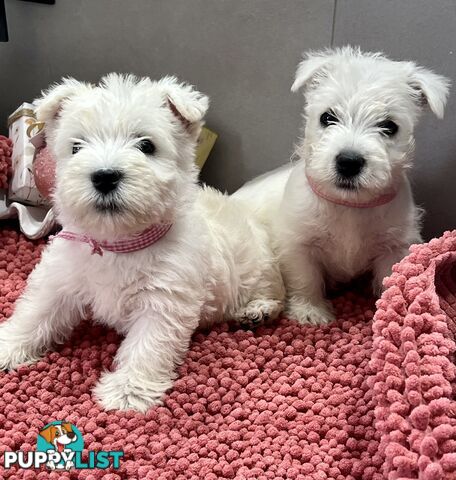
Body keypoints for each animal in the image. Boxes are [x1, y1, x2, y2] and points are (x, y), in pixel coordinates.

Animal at [0, 73, 284, 410]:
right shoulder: (61, 277)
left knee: (273, 290)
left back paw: (258, 310)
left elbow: (148, 344)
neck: (118, 243)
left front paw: (127, 390)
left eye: (146, 145)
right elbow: (35, 313)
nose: (104, 176)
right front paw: (8, 345)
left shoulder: (164, 300)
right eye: (77, 147)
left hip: (258, 264)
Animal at [235, 47, 448, 324]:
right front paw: (310, 312)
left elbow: (389, 279)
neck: (350, 205)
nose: (349, 162)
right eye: (327, 117)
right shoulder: (298, 245)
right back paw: (259, 308)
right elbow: (305, 279)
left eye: (389, 126)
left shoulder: (393, 248)